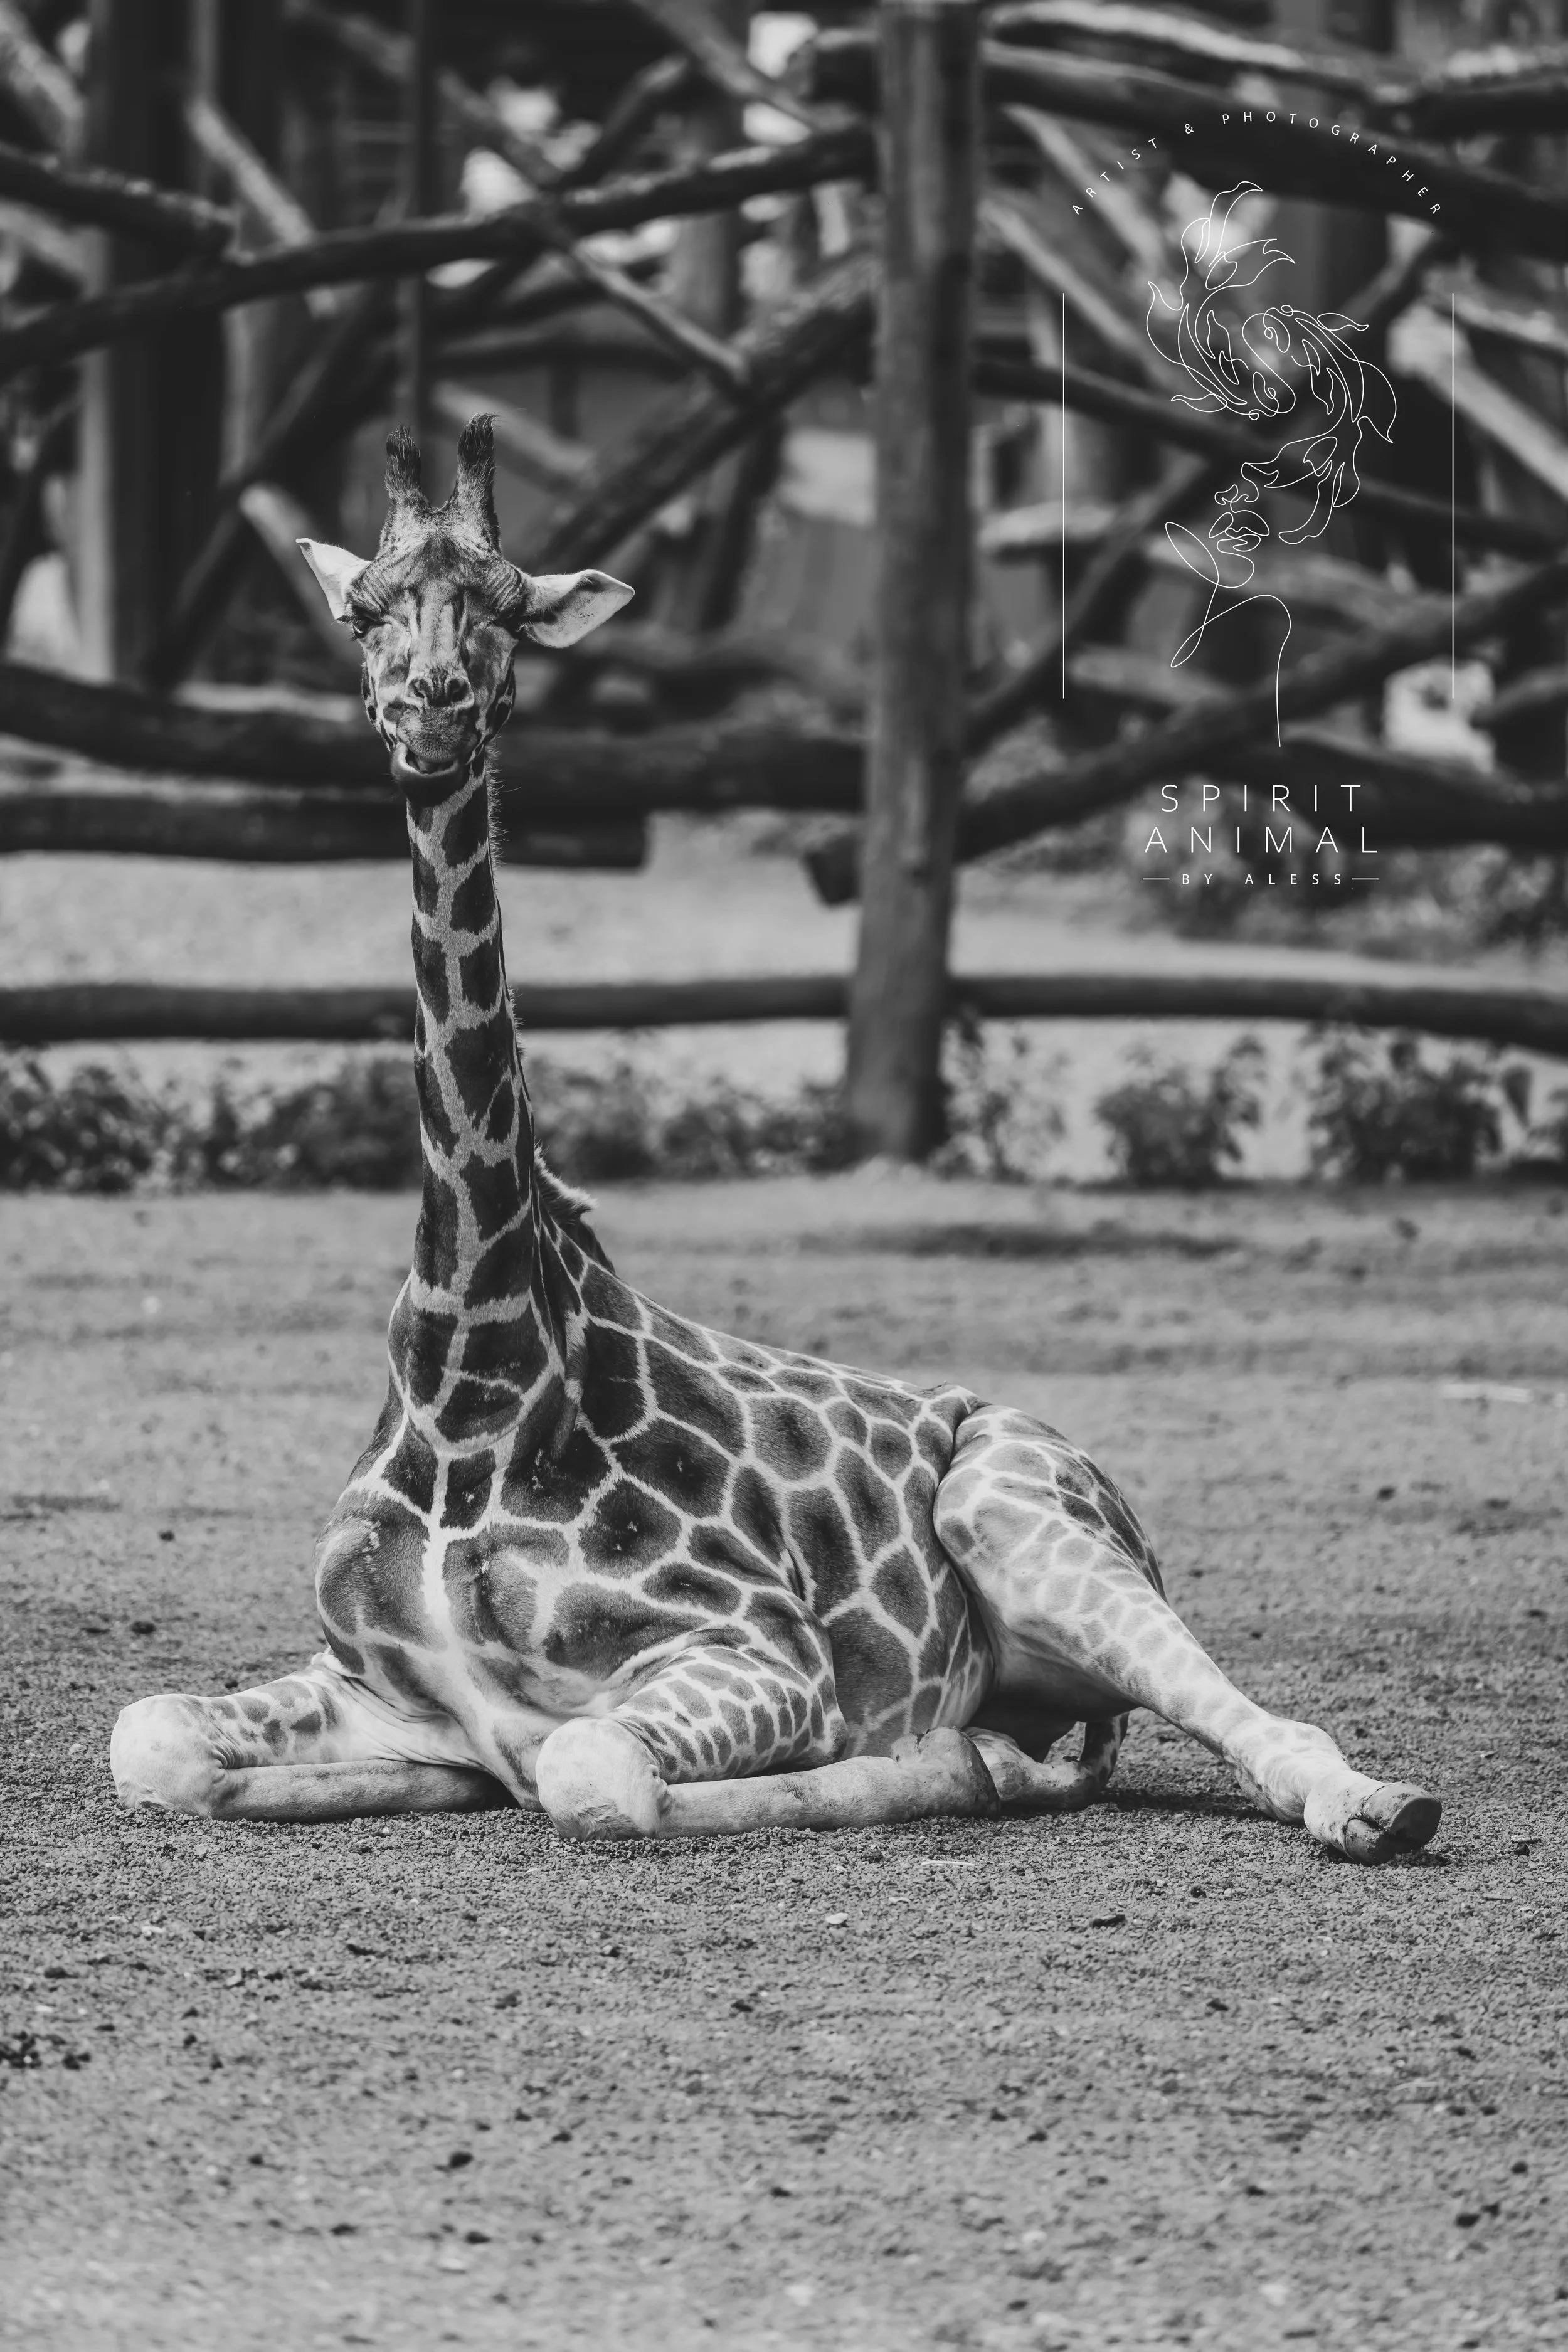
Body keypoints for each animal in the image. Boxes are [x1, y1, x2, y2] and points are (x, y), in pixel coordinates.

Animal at [110, 419, 1441, 1866]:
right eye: (363, 610)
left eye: (507, 608)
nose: (433, 709)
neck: (474, 1381)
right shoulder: (370, 1682)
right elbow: (152, 1737)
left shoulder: (763, 1652)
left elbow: (588, 1767)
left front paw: (900, 1763)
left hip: (1016, 1510)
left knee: (1248, 1722)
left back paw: (1357, 1802)